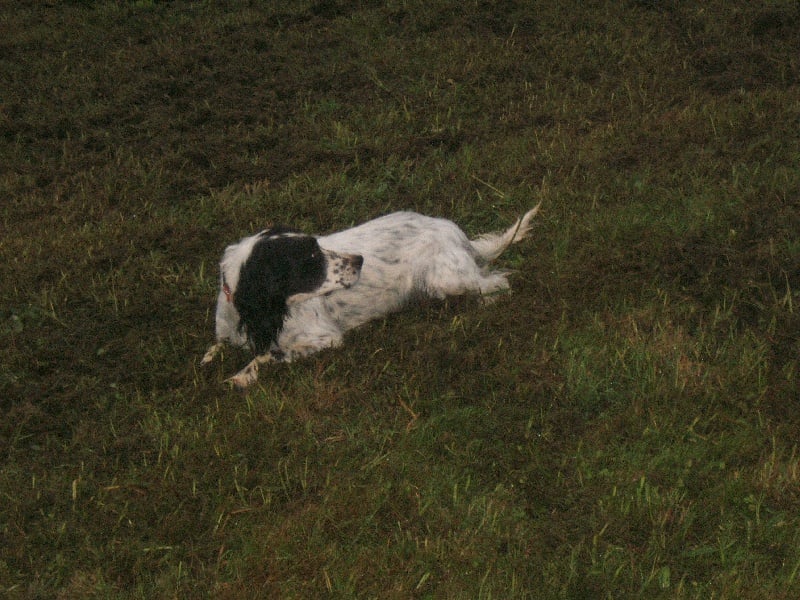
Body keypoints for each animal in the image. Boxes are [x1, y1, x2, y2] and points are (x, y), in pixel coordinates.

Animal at [201, 204, 541, 388]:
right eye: (311, 257)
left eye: (316, 245)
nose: (359, 260)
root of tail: (457, 233)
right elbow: (214, 348)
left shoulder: (325, 339)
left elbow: (268, 355)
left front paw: (240, 376)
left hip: (446, 279)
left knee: (497, 281)